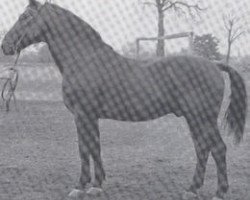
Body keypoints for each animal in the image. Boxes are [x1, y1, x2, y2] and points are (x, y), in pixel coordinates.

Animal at [0, 0, 247, 199]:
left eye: (25, 17)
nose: (5, 45)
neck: (84, 59)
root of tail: (214, 65)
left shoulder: (82, 114)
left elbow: (84, 149)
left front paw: (80, 186)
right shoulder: (91, 116)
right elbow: (95, 147)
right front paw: (97, 185)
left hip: (201, 118)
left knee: (217, 149)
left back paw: (218, 193)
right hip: (195, 119)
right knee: (203, 149)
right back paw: (192, 189)